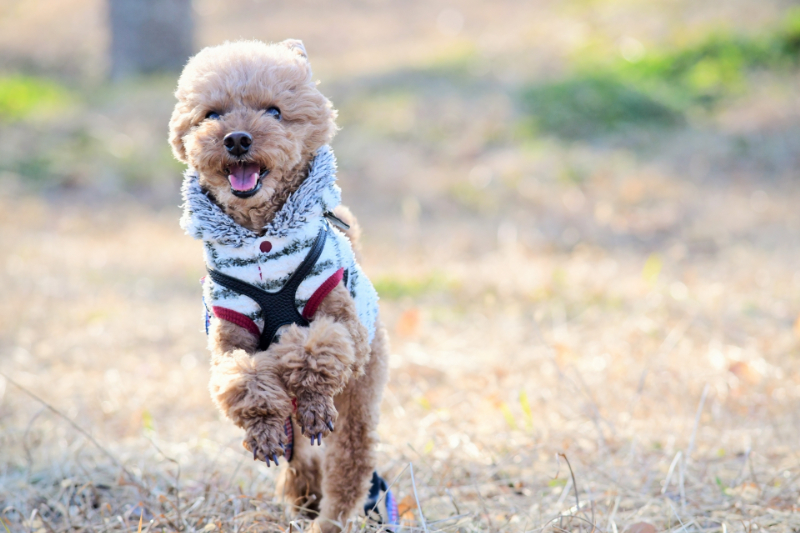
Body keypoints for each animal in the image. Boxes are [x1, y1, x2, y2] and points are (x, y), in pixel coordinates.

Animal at [170, 39, 394, 528]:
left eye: (274, 111)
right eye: (212, 114)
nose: (237, 139)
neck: (262, 240)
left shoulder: (343, 325)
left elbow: (312, 346)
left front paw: (307, 389)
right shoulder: (230, 334)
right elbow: (244, 374)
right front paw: (265, 431)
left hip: (360, 393)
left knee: (349, 462)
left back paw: (330, 519)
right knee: (300, 457)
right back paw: (304, 492)